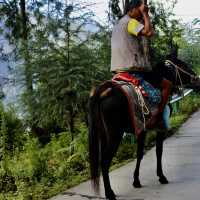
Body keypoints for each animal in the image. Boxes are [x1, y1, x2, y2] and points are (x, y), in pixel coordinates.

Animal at [88, 57, 200, 199]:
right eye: (183, 65)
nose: (197, 79)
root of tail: (102, 91)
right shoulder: (159, 129)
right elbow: (158, 152)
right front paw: (161, 176)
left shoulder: (142, 130)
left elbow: (140, 154)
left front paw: (136, 180)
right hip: (115, 135)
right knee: (104, 161)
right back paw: (109, 193)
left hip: (103, 134)